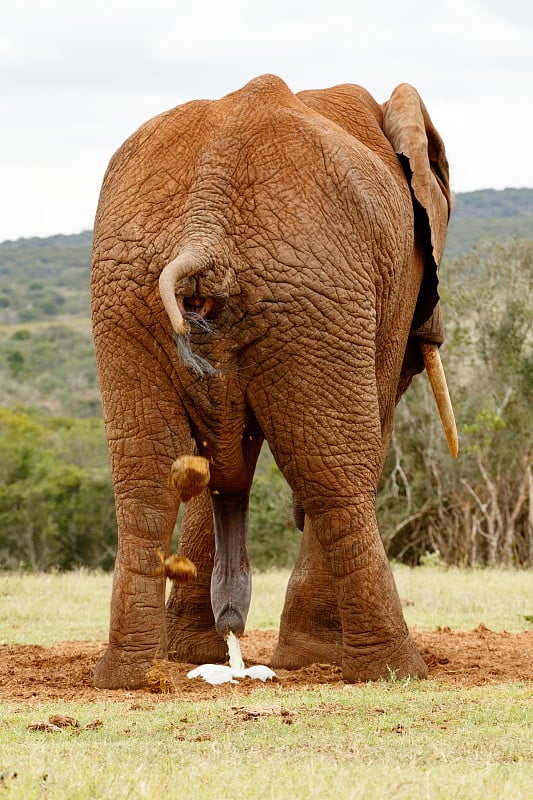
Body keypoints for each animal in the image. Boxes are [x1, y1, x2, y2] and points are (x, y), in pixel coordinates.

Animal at [90, 72, 454, 692]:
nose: (233, 617)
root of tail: (205, 227)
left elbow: (219, 465)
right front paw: (310, 658)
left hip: (132, 295)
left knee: (146, 478)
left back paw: (131, 677)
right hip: (314, 294)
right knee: (333, 475)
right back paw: (395, 671)